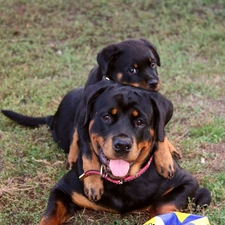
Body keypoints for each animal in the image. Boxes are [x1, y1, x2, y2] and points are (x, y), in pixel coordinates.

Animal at [36, 81, 210, 225]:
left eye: (140, 122)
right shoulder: (63, 190)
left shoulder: (187, 182)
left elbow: (159, 205)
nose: (122, 145)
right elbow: (49, 216)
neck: (121, 182)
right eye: (106, 117)